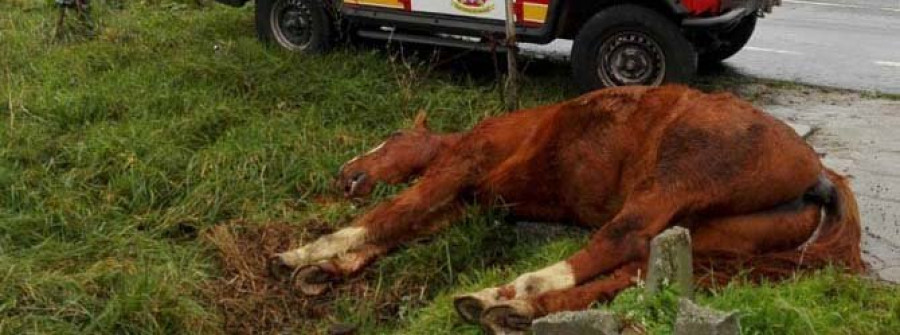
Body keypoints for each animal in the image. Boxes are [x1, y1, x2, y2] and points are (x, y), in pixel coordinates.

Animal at [268, 84, 864, 334]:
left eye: (392, 137)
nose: (346, 172)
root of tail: (818, 174)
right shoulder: (462, 205)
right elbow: (399, 229)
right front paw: (328, 268)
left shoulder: (456, 169)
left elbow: (390, 215)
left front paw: (305, 253)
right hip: (712, 236)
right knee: (633, 271)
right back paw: (518, 310)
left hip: (674, 181)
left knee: (617, 241)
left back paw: (509, 292)